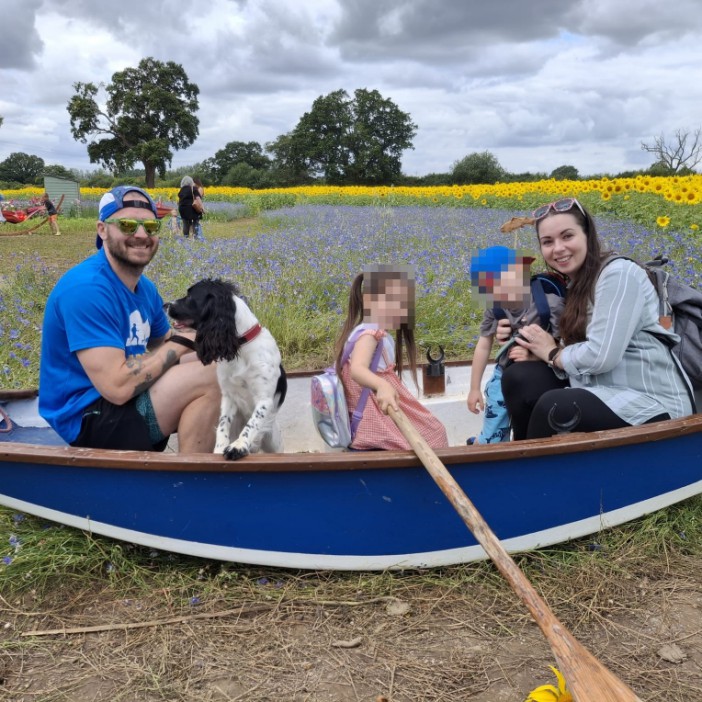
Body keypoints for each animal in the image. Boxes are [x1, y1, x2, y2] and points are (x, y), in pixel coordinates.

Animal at [166, 280, 288, 462]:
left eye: (189, 297)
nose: (165, 305)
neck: (241, 347)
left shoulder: (264, 400)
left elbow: (252, 423)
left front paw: (238, 446)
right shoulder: (228, 395)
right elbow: (223, 424)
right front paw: (219, 449)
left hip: (273, 440)